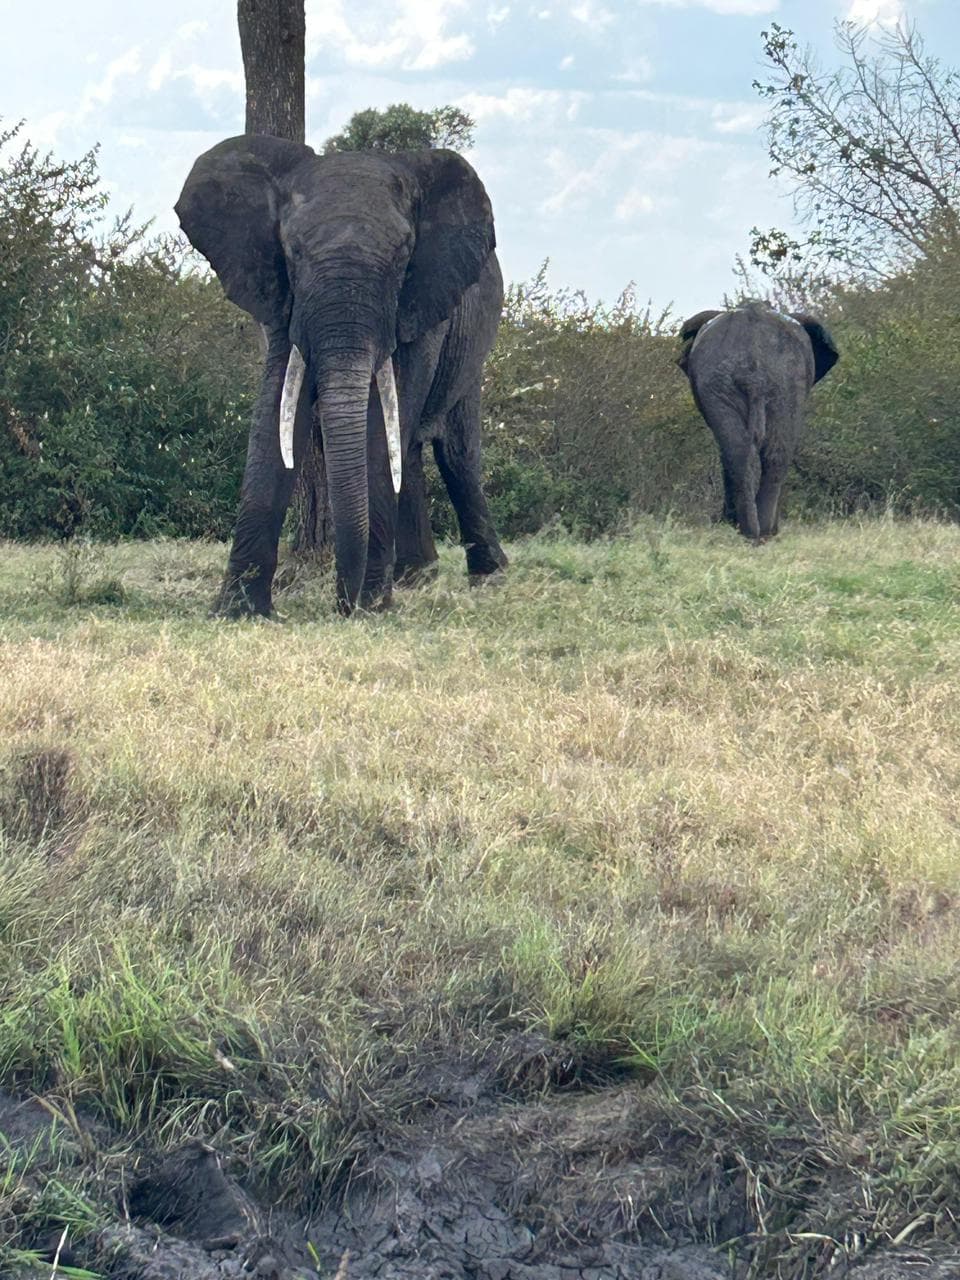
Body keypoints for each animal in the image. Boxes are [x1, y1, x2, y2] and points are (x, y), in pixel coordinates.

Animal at [175, 135, 507, 616]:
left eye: (403, 254)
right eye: (292, 250)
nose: (344, 604)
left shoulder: (421, 299)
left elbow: (383, 422)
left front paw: (368, 608)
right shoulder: (284, 296)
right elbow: (277, 410)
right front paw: (238, 612)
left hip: (472, 340)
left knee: (456, 454)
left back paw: (488, 577)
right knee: (408, 450)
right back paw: (415, 577)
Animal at [677, 302, 839, 541]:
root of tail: (754, 371)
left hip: (767, 382)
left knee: (750, 451)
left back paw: (756, 532)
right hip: (759, 383)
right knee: (764, 452)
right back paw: (759, 532)